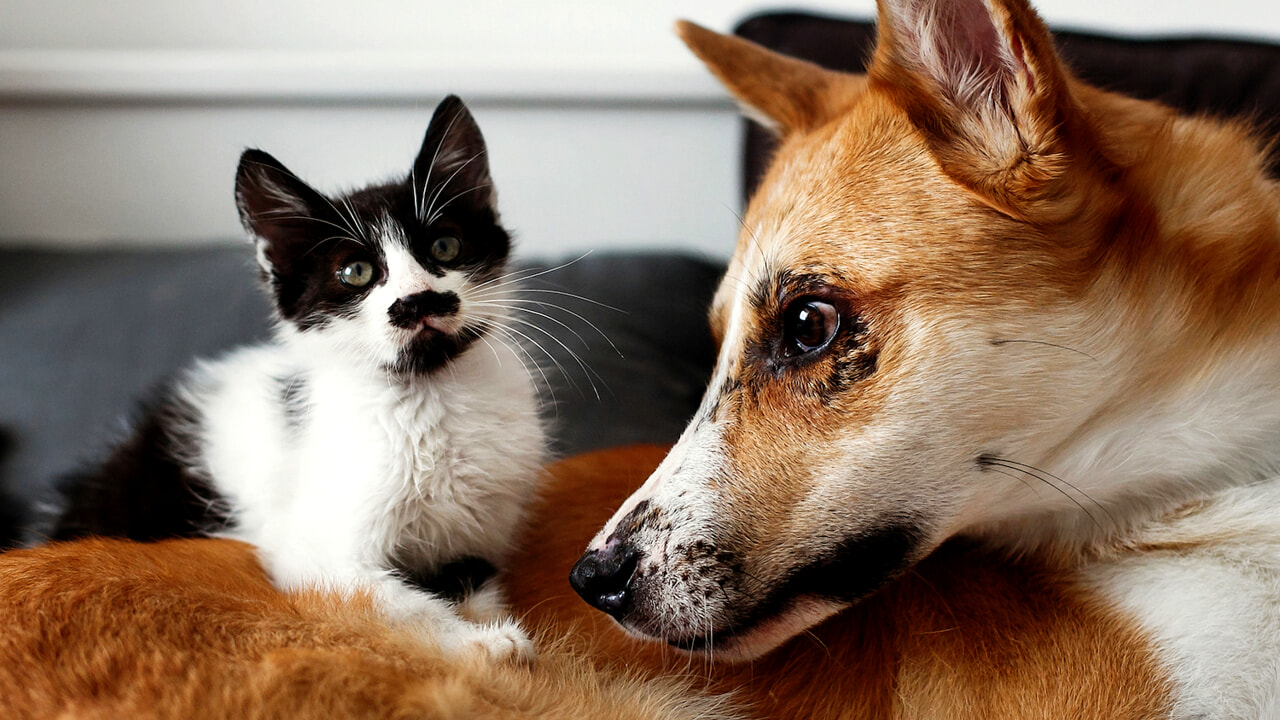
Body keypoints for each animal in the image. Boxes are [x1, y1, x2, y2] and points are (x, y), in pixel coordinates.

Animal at [35, 96, 545, 661]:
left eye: (446, 247)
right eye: (356, 273)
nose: (418, 301)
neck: (430, 397)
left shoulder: (483, 527)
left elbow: (475, 577)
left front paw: (486, 622)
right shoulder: (308, 549)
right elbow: (391, 599)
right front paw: (481, 644)